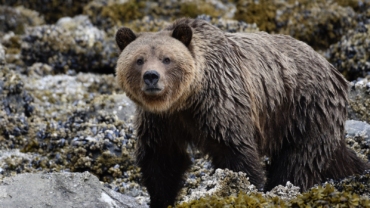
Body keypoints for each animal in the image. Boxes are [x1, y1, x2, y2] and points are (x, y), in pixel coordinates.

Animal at [115, 18, 368, 208]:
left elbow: (236, 153)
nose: (152, 77)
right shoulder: (161, 121)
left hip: (304, 109)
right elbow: (162, 159)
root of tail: (333, 69)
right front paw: (161, 199)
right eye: (139, 60)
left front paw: (242, 188)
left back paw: (283, 187)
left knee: (298, 160)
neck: (185, 100)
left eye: (167, 59)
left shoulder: (221, 104)